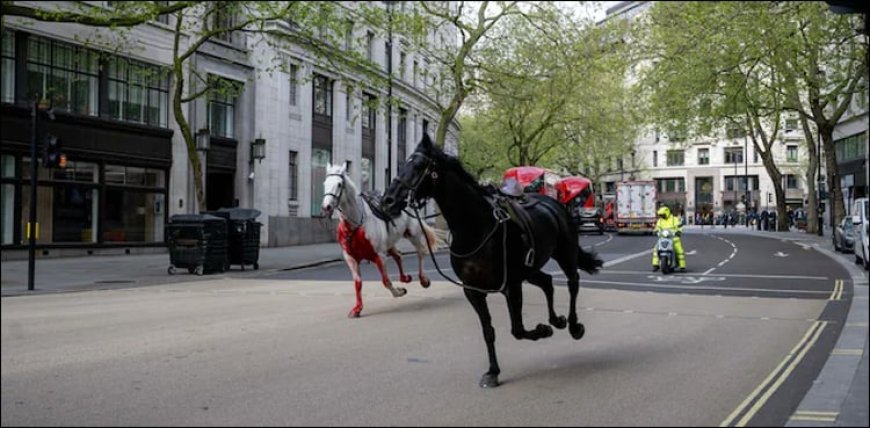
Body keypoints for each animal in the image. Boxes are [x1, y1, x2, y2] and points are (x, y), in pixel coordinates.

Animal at [320, 164, 440, 318]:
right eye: (325, 183)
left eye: (339, 184)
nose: (326, 207)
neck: (357, 223)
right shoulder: (351, 258)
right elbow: (358, 283)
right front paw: (357, 309)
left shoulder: (380, 256)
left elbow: (386, 280)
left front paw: (398, 292)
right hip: (390, 243)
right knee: (398, 256)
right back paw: (405, 277)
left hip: (414, 234)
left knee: (421, 253)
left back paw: (423, 279)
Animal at [384, 135, 604, 390]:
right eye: (404, 164)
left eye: (419, 166)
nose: (387, 200)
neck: (474, 227)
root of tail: (553, 204)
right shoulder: (474, 290)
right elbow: (488, 331)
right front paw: (492, 372)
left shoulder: (511, 285)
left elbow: (517, 329)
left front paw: (542, 330)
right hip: (530, 269)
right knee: (548, 282)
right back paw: (556, 320)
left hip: (564, 255)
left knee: (572, 282)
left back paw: (573, 325)